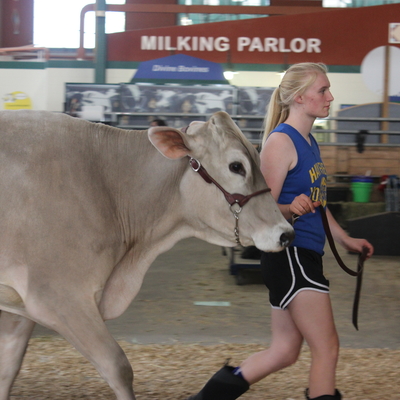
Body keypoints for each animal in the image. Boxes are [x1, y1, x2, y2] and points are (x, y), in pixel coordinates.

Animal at [0, 110, 294, 400]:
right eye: (236, 166)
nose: (286, 233)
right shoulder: (58, 296)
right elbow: (118, 367)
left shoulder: (19, 307)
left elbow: (8, 369)